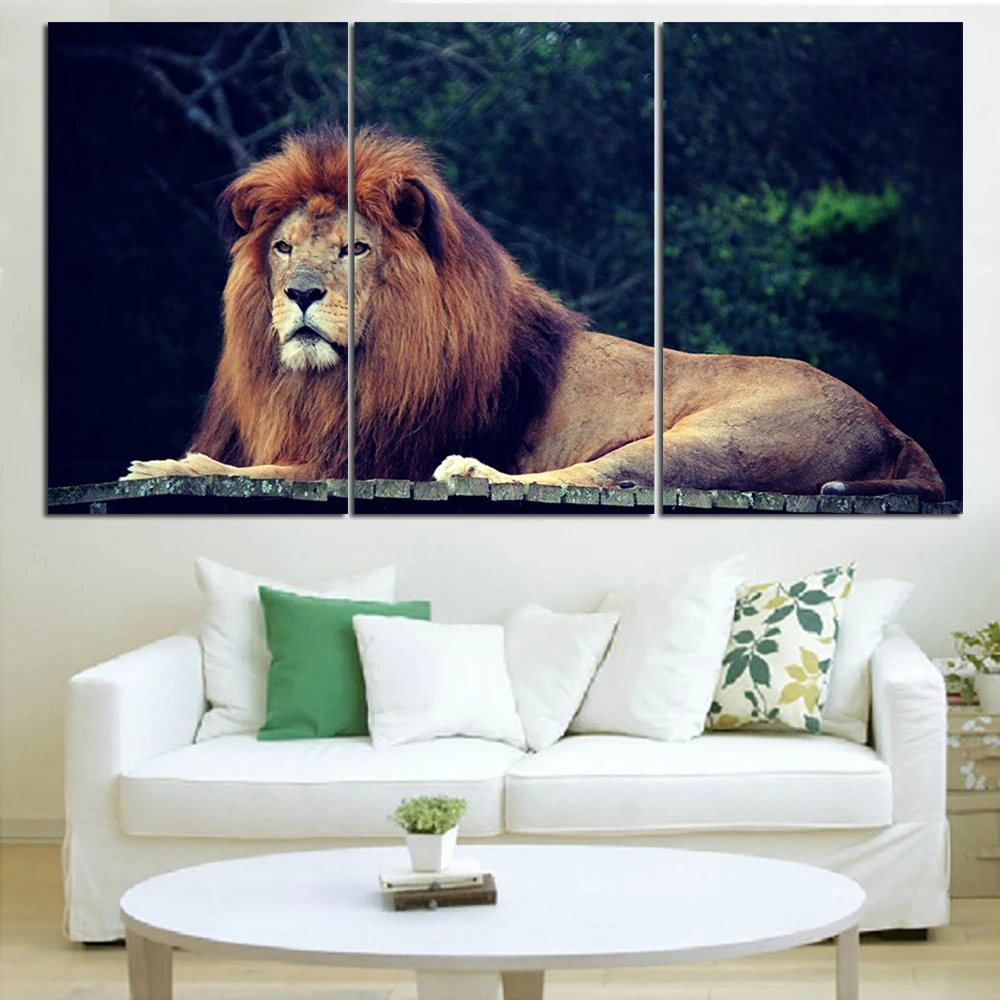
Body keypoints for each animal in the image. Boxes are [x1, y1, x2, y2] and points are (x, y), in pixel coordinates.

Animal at [124, 124, 945, 502]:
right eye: (284, 247)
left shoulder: (379, 454)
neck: (334, 379)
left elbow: (251, 465)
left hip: (716, 438)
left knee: (594, 478)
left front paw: (164, 462)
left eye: (354, 248)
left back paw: (469, 469)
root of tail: (892, 428)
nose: (300, 294)